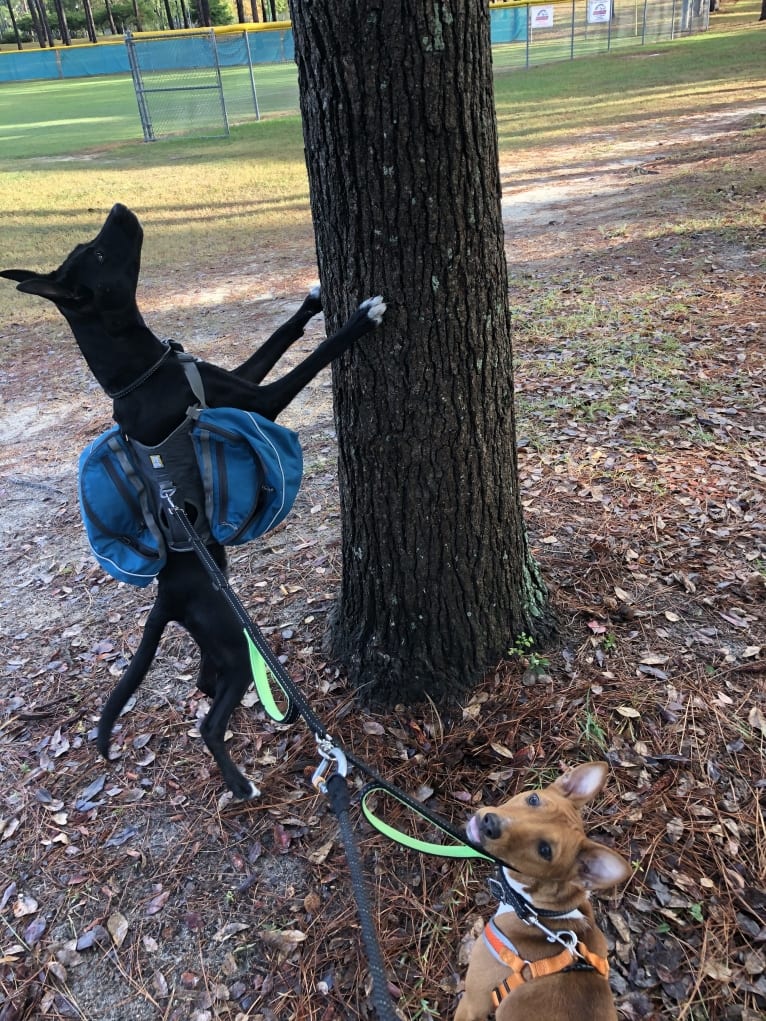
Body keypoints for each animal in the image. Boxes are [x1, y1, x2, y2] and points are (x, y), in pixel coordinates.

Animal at [0, 205, 384, 796]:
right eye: (100, 253)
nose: (119, 208)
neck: (140, 374)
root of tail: (166, 597)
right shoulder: (263, 402)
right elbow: (312, 359)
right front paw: (360, 320)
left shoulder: (235, 379)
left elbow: (277, 338)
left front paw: (313, 301)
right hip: (230, 640)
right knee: (208, 721)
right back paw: (241, 782)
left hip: (220, 644)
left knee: (206, 683)